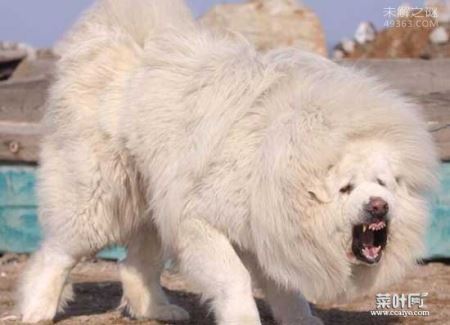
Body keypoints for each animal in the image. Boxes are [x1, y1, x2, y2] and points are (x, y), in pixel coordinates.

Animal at [16, 1, 436, 322]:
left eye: (382, 184)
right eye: (346, 188)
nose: (378, 206)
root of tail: (127, 44)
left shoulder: (269, 230)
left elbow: (286, 289)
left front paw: (300, 318)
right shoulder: (200, 221)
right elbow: (234, 280)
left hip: (156, 203)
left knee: (135, 264)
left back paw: (158, 310)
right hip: (100, 199)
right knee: (58, 253)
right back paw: (37, 310)